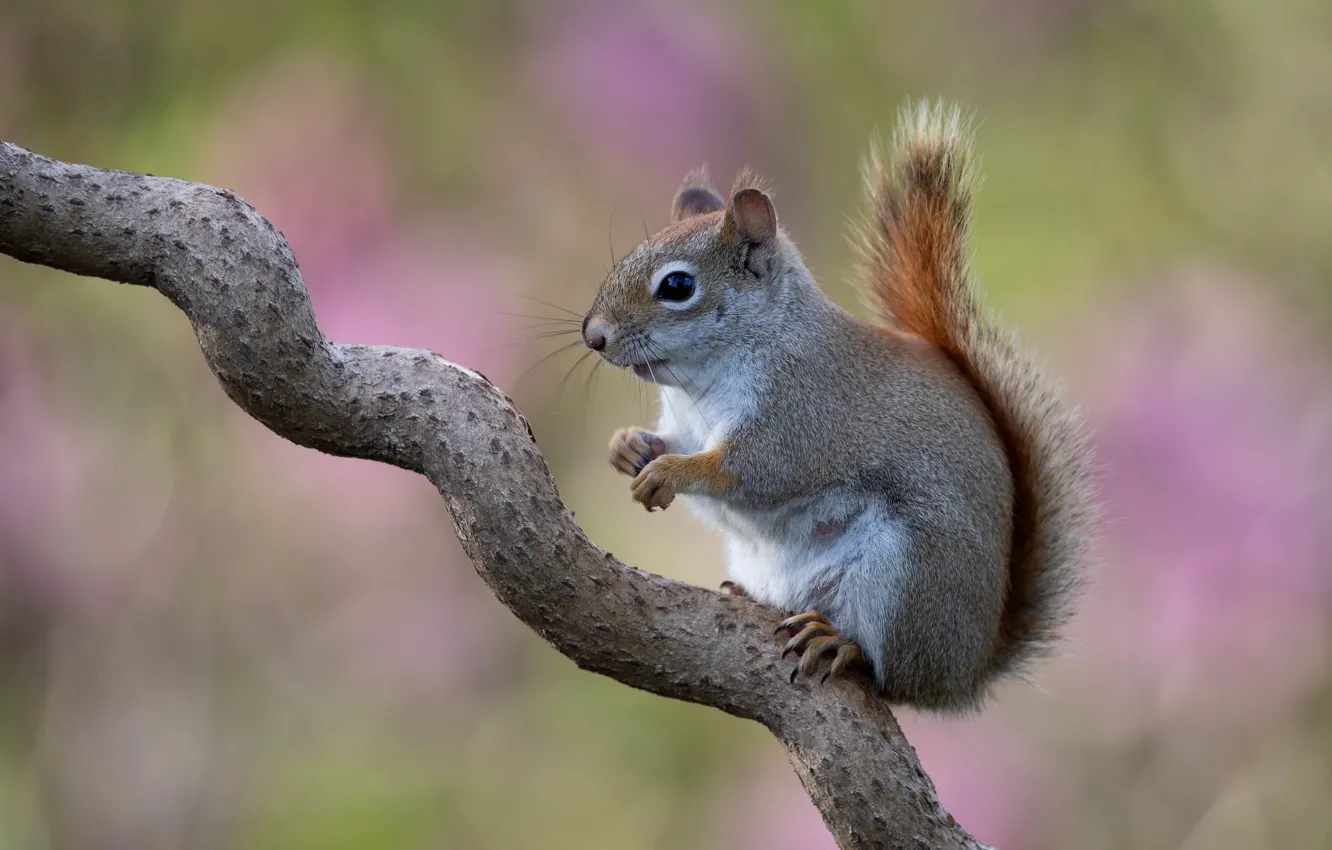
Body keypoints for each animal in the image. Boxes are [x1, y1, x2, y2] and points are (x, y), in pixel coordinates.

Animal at [580, 101, 1096, 711]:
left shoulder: (802, 409)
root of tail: (963, 674)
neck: (700, 381)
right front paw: (629, 446)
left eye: (678, 286)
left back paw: (841, 642)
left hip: (903, 576)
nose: (593, 336)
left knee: (888, 670)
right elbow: (673, 441)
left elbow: (750, 468)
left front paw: (671, 471)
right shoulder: (686, 419)